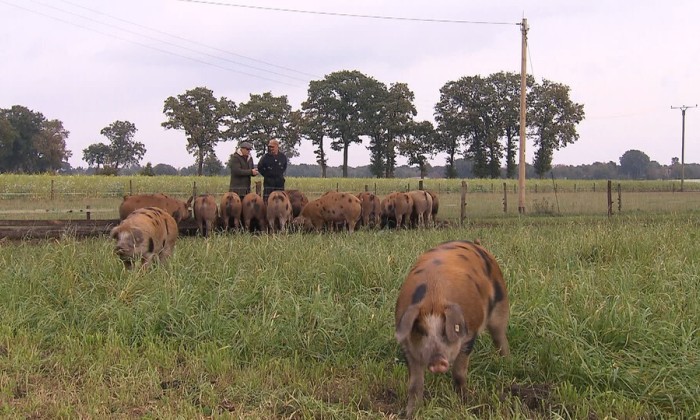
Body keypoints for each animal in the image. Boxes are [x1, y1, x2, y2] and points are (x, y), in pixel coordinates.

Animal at [395, 240, 510, 418]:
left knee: (500, 336)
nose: (437, 361)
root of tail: (476, 244)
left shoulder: (469, 336)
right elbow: (414, 384)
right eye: (420, 329)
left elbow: (459, 374)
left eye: (445, 330)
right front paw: (410, 414)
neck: (433, 300)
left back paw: (507, 362)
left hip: (501, 302)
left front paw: (465, 405)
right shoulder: (407, 345)